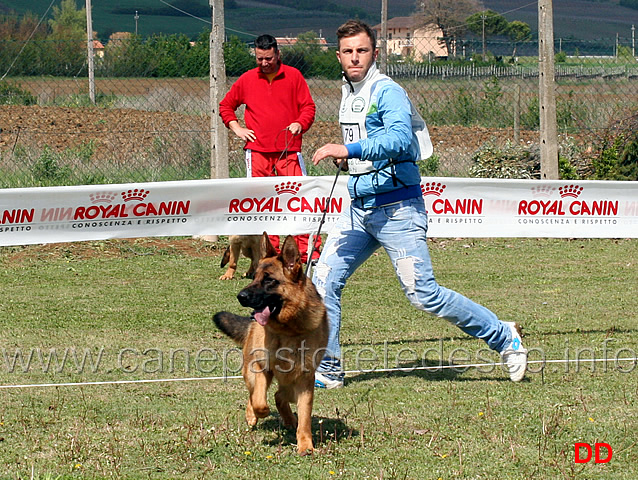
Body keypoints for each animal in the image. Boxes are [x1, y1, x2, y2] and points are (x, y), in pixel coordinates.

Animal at [215, 232, 330, 454]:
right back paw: (254, 415)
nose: (240, 296)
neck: (288, 329)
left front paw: (305, 445)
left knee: (280, 395)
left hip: (291, 383)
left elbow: (305, 416)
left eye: (269, 280)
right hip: (252, 372)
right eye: (255, 277)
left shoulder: (305, 379)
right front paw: (258, 412)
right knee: (258, 394)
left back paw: (289, 418)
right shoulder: (261, 367)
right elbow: (259, 401)